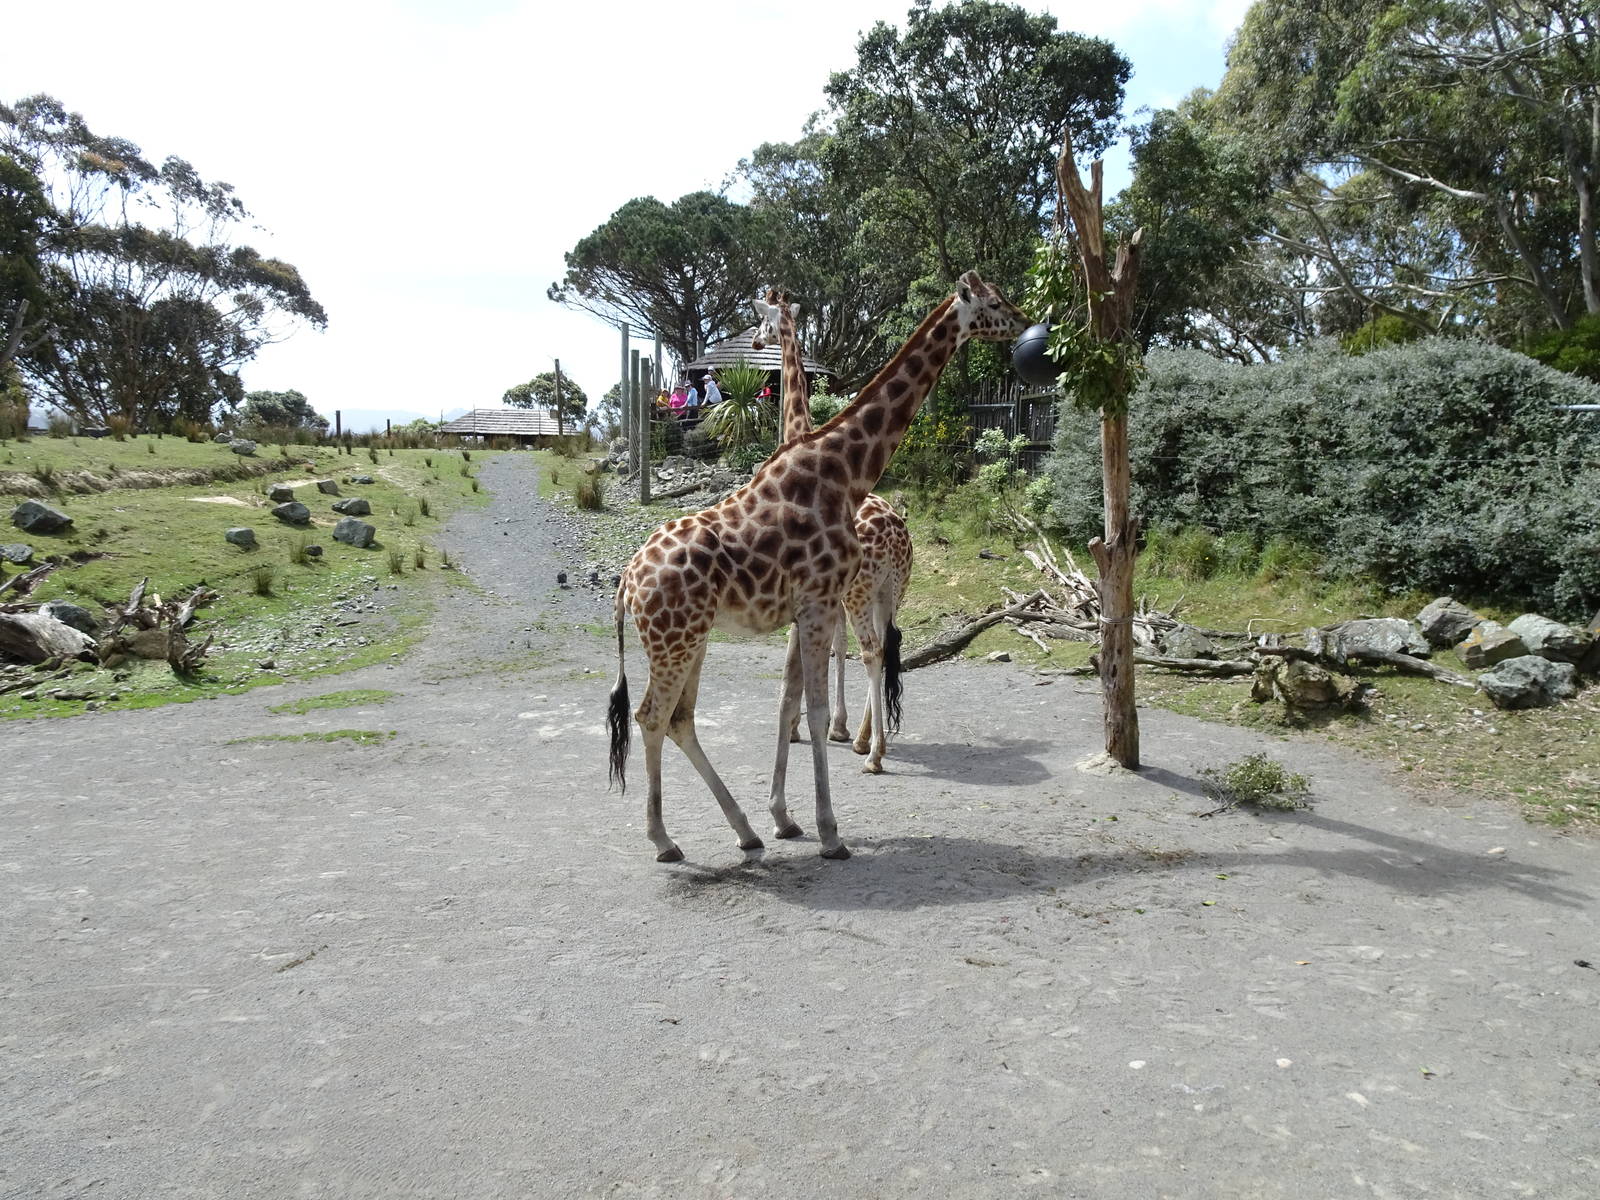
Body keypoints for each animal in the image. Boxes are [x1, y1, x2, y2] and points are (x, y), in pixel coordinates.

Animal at [751, 289, 913, 773]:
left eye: (761, 321)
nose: (755, 341)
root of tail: (896, 539)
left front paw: (799, 726)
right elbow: (836, 647)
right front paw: (837, 727)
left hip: (863, 592)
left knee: (872, 650)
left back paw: (873, 753)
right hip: (891, 591)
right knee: (887, 646)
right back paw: (865, 739)